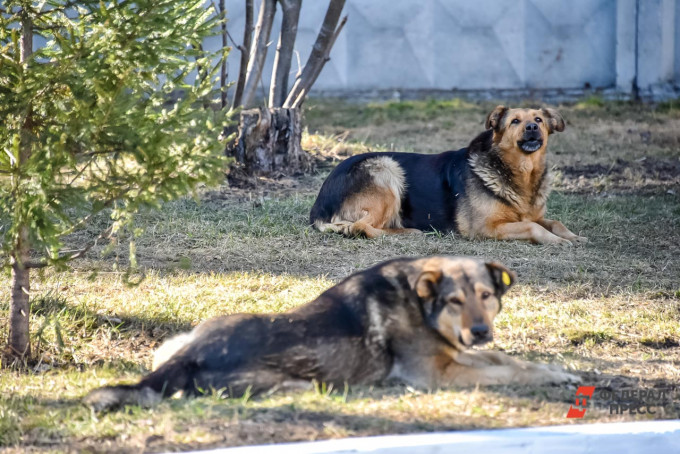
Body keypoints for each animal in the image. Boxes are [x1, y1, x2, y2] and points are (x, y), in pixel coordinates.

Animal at [81, 255, 580, 412]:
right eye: (455, 300)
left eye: (486, 295)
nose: (479, 331)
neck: (420, 302)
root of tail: (192, 352)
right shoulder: (438, 374)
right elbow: (505, 372)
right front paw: (547, 377)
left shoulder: (460, 354)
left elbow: (508, 360)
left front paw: (558, 371)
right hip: (288, 381)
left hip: (180, 338)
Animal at [310, 105, 588, 245]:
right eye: (515, 122)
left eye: (538, 120)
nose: (531, 128)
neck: (520, 172)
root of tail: (318, 207)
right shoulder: (485, 228)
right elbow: (532, 226)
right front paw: (556, 241)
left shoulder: (531, 215)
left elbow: (554, 222)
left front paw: (574, 236)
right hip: (386, 169)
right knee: (360, 226)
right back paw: (408, 233)